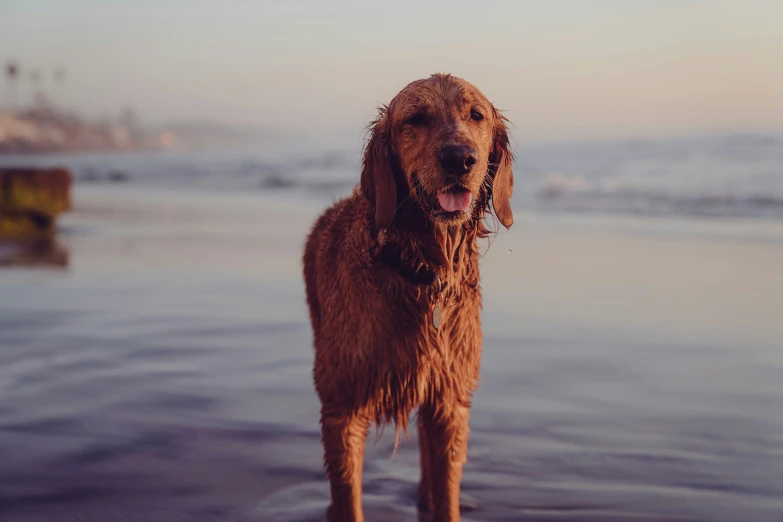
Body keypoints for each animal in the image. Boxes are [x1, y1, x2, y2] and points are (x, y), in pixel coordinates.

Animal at [302, 74, 516, 520]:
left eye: (476, 115)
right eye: (415, 119)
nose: (460, 158)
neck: (420, 275)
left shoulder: (450, 399)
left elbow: (447, 487)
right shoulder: (342, 406)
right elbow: (348, 496)